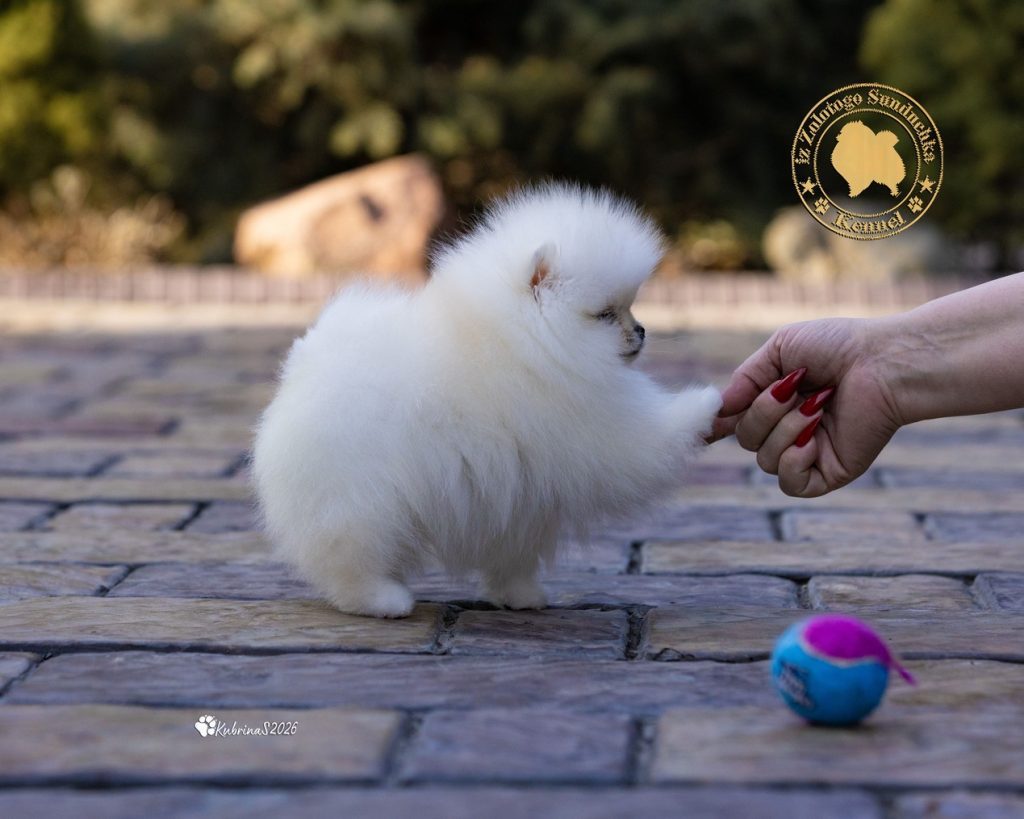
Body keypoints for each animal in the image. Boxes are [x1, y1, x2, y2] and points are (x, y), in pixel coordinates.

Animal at [252, 184, 720, 617]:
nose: (641, 331)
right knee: (350, 553)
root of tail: (306, 367)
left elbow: (513, 556)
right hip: (360, 496)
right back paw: (382, 600)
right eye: (605, 315)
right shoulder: (591, 428)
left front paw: (520, 595)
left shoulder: (522, 497)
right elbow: (646, 442)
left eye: (630, 306)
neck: (524, 342)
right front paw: (708, 401)